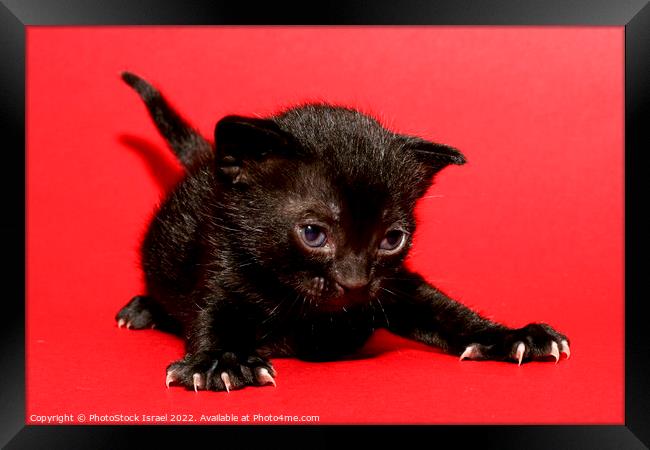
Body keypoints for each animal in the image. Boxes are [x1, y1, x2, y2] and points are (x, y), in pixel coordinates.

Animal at [115, 72, 568, 392]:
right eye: (314, 234)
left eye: (392, 239)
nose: (355, 283)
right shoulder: (222, 263)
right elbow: (213, 316)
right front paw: (221, 361)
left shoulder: (397, 287)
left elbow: (447, 310)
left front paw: (511, 336)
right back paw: (142, 309)